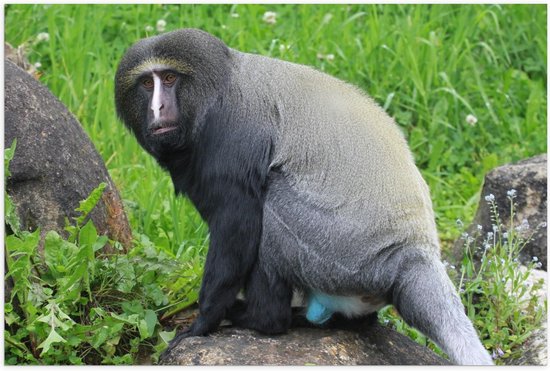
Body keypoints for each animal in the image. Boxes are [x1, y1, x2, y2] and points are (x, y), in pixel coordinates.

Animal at [114, 29, 494, 366]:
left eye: (169, 78)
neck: (217, 87)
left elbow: (237, 225)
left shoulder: (228, 141)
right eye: (147, 84)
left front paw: (201, 324)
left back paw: (262, 318)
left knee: (270, 207)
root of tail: (412, 253)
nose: (158, 108)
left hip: (337, 254)